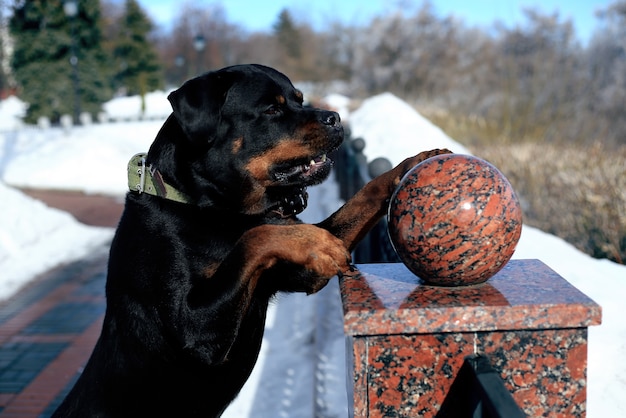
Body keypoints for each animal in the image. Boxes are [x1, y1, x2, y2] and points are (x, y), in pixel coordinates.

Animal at [51, 63, 446, 416]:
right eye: (272, 109)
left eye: (300, 100)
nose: (335, 117)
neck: (209, 207)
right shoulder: (193, 331)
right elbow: (257, 235)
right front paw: (312, 241)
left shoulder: (299, 272)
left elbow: (363, 194)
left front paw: (415, 162)